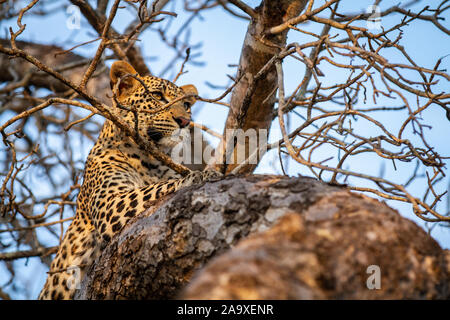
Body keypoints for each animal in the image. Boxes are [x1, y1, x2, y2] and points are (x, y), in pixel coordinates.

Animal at [37, 60, 221, 300]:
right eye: (157, 96)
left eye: (187, 105)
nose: (184, 121)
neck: (151, 159)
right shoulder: (110, 202)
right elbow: (156, 188)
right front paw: (200, 175)